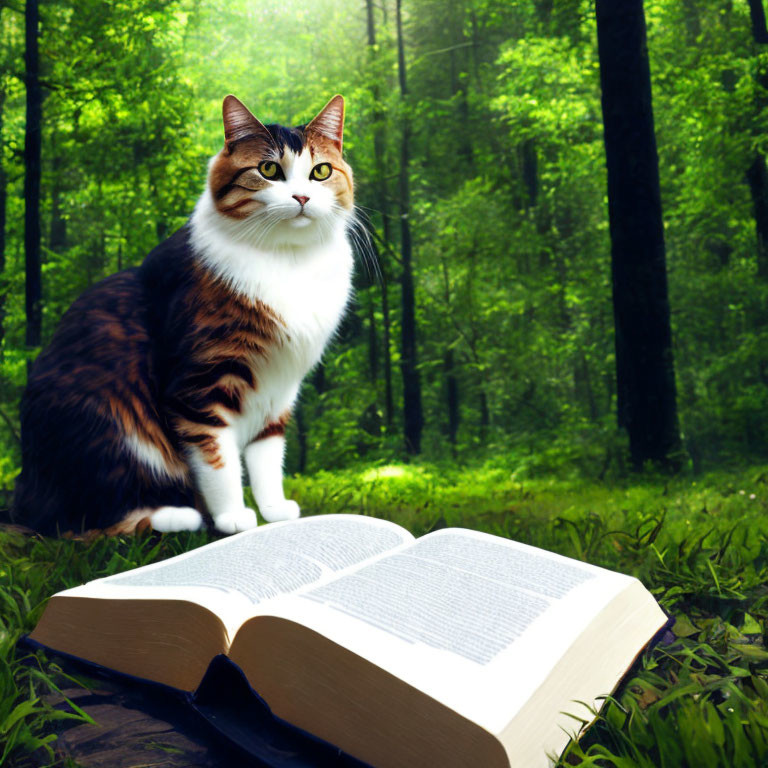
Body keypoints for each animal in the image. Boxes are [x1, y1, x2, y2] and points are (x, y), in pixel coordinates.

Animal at [12, 94, 354, 536]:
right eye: (269, 170)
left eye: (321, 172)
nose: (302, 198)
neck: (289, 259)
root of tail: (23, 492)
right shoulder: (199, 381)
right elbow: (216, 455)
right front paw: (233, 518)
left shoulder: (280, 385)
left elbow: (267, 456)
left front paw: (274, 510)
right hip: (104, 425)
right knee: (81, 520)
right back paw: (176, 516)